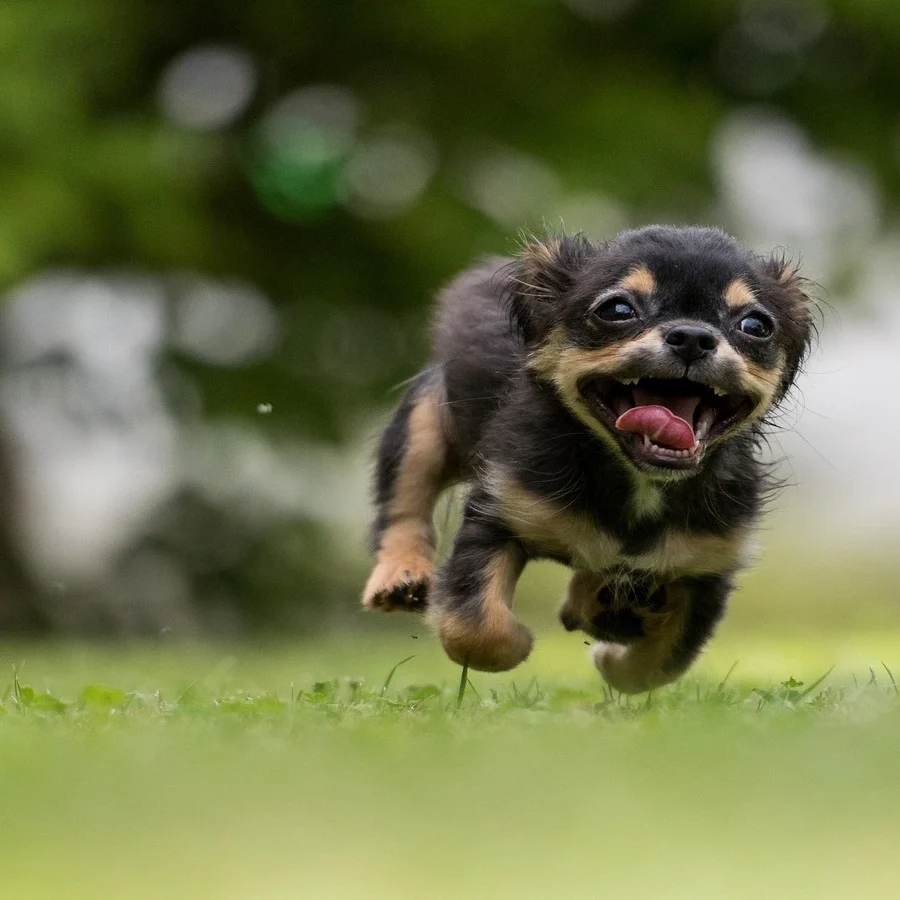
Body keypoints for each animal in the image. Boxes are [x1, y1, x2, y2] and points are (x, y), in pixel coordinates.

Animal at [360, 229, 816, 692]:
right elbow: (475, 629)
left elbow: (658, 665)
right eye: (617, 310)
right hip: (423, 425)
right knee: (404, 506)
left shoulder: (705, 567)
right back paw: (400, 576)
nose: (692, 336)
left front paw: (611, 656)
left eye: (755, 326)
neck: (638, 480)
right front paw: (521, 642)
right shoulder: (499, 514)